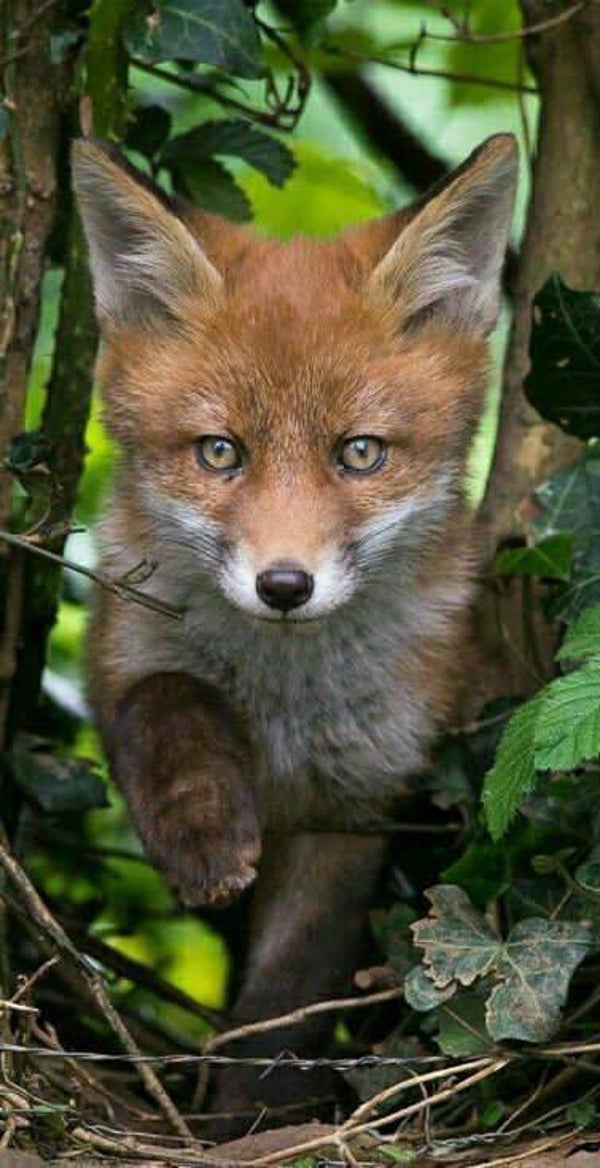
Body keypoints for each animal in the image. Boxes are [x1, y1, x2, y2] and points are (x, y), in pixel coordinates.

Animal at [72, 132, 518, 1128]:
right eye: (219, 452)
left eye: (360, 453)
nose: (283, 585)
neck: (282, 704)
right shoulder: (117, 653)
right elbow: (162, 696)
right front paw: (201, 822)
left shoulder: (355, 803)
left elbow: (289, 990)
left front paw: (254, 1116)